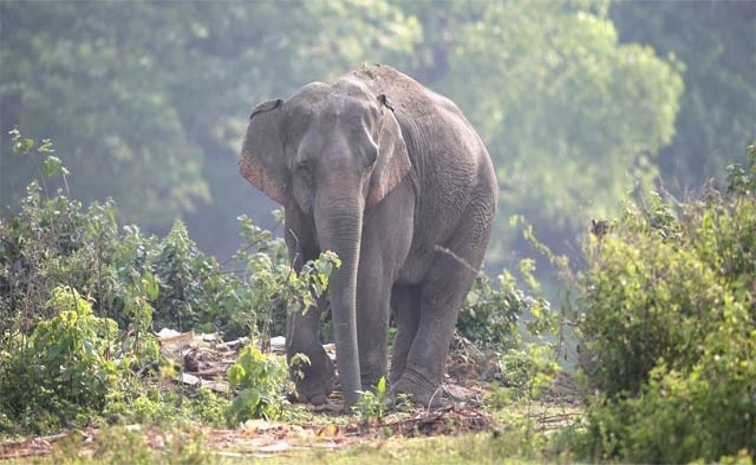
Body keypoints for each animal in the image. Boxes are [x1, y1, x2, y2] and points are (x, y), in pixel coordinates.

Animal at [239, 64, 497, 408]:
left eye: (371, 163)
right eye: (303, 167)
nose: (351, 403)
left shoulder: (397, 185)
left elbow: (370, 272)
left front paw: (371, 392)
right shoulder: (294, 201)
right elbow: (304, 265)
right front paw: (316, 390)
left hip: (477, 211)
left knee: (441, 293)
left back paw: (411, 395)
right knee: (408, 298)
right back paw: (400, 391)